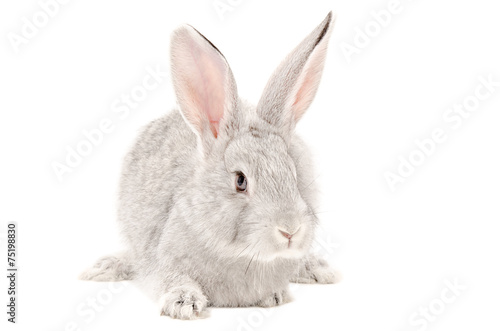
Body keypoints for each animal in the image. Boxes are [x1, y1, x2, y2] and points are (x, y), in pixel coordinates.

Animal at [82, 12, 338, 320]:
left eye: (294, 173)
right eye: (240, 180)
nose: (290, 230)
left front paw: (274, 294)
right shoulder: (163, 260)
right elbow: (170, 278)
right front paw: (184, 303)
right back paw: (105, 267)